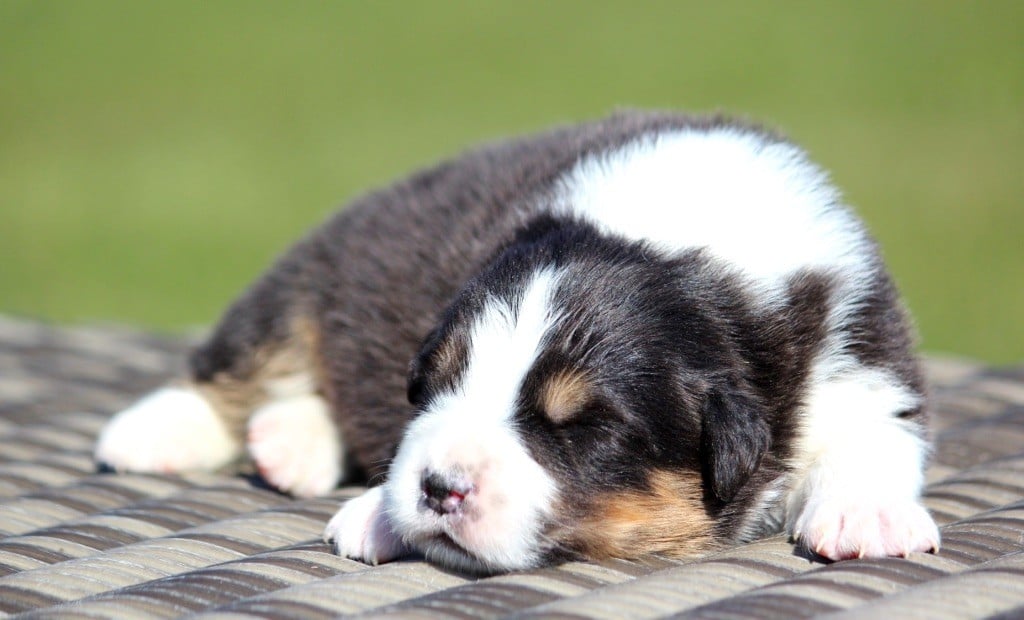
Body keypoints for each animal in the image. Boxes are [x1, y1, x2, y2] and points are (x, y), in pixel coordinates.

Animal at [92, 110, 937, 569]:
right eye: (437, 384)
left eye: (583, 429)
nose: (438, 489)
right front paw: (376, 512)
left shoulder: (865, 358)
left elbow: (877, 436)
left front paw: (868, 517)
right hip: (318, 266)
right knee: (248, 355)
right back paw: (154, 432)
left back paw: (288, 443)